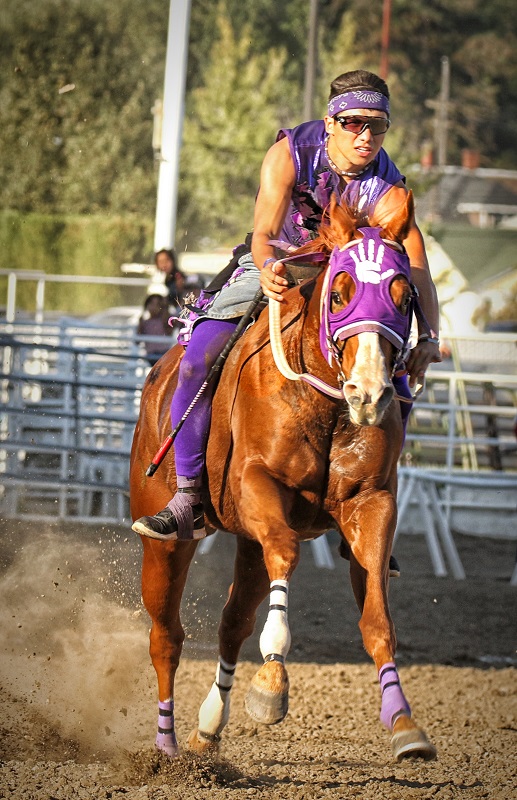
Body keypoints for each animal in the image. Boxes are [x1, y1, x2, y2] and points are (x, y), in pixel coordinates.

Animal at [129, 190, 437, 763]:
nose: (369, 393)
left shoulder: (372, 504)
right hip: (165, 543)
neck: (325, 404)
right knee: (167, 638)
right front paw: (272, 684)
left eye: (404, 296)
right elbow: (289, 554)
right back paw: (167, 745)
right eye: (338, 294)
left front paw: (404, 722)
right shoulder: (257, 485)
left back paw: (208, 728)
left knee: (231, 623)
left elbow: (377, 617)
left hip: (249, 542)